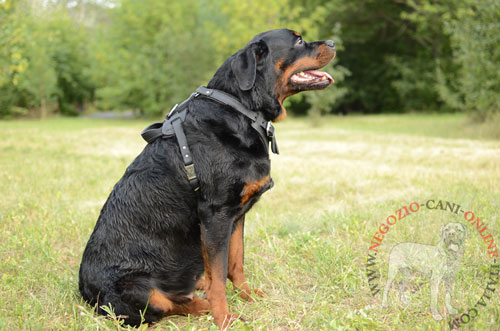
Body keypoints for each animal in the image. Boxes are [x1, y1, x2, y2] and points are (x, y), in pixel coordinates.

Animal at [79, 28, 336, 330]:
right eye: (298, 40)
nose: (333, 42)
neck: (242, 109)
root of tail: (84, 292)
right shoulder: (215, 214)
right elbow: (219, 278)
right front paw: (224, 317)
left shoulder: (236, 215)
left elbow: (234, 264)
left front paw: (247, 295)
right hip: (138, 288)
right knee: (166, 304)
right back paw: (201, 302)